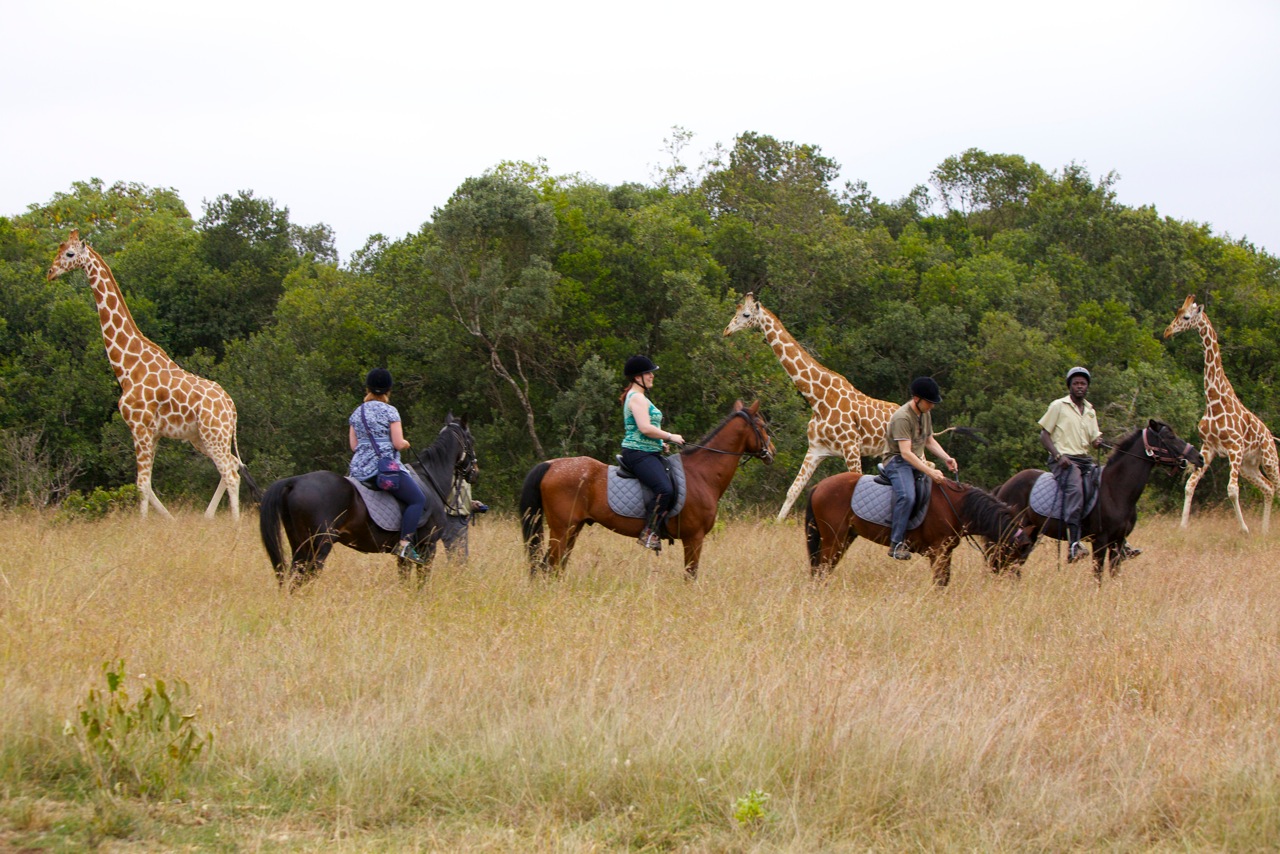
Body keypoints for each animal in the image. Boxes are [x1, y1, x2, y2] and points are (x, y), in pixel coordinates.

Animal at [259, 414, 477, 589]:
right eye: (471, 440)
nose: (475, 472)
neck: (429, 479)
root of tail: (294, 481)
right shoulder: (427, 546)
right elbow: (422, 581)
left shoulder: (405, 553)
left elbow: (405, 579)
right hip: (318, 545)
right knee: (306, 577)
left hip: (299, 544)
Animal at [520, 400, 774, 579]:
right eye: (762, 426)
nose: (771, 451)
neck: (701, 474)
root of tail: (550, 465)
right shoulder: (694, 537)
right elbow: (691, 575)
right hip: (562, 530)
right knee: (549, 565)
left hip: (573, 529)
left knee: (553, 566)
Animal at [804, 472, 1025, 586]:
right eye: (1015, 551)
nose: (1015, 580)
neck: (957, 507)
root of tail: (818, 487)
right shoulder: (938, 551)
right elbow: (940, 581)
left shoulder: (946, 552)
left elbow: (944, 580)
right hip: (833, 539)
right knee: (821, 570)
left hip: (845, 539)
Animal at [991, 419, 1203, 581]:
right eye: (1169, 437)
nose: (1199, 457)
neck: (1116, 489)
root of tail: (1005, 485)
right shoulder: (1100, 541)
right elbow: (1098, 575)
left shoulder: (1118, 541)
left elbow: (1114, 573)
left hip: (1030, 534)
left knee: (1010, 564)